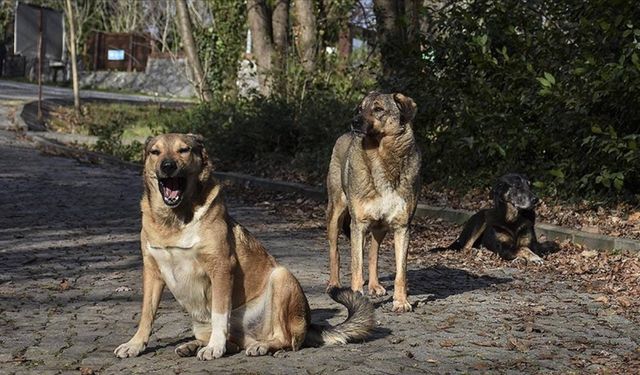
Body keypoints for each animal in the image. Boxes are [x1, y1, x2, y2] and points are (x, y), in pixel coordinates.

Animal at [115, 134, 376, 360]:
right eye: (155, 152)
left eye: (184, 150)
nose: (167, 166)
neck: (175, 221)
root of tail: (309, 323)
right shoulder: (152, 272)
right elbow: (147, 314)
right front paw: (135, 344)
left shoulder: (221, 268)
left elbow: (220, 314)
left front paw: (214, 348)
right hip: (200, 323)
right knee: (233, 342)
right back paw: (193, 345)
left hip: (281, 277)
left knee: (285, 340)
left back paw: (260, 346)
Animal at [328, 92, 422, 312]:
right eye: (359, 109)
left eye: (378, 109)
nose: (353, 122)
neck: (382, 156)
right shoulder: (358, 224)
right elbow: (356, 265)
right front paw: (356, 297)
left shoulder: (402, 227)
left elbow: (400, 272)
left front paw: (401, 301)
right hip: (336, 214)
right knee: (335, 251)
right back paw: (334, 284)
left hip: (380, 228)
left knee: (373, 253)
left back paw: (374, 285)